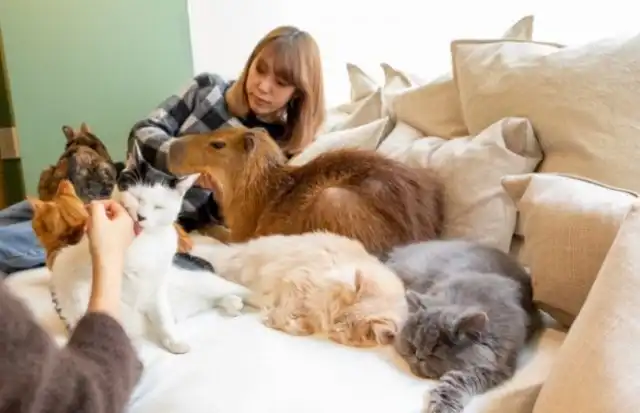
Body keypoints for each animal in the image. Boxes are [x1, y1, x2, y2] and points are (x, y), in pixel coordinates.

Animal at [32, 149, 247, 355]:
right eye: (136, 196)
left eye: (159, 207)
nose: (141, 216)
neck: (141, 242)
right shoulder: (78, 280)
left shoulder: (157, 285)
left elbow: (163, 316)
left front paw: (173, 341)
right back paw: (232, 304)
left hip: (206, 282)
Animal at [190, 231, 408, 348]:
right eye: (339, 322)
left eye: (341, 328)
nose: (331, 329)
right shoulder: (299, 282)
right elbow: (287, 316)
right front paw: (275, 321)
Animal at [384, 240, 542, 413]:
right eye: (412, 346)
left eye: (434, 352)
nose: (419, 357)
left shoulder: (495, 367)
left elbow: (458, 381)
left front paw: (441, 407)